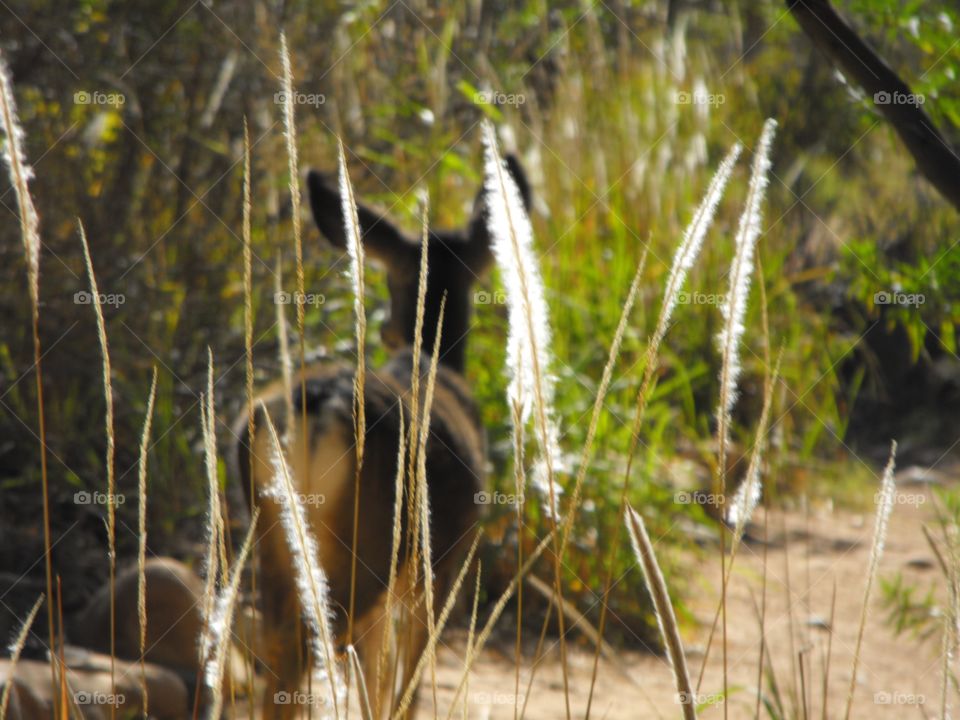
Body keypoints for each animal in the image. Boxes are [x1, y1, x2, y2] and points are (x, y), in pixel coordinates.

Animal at [235, 155, 528, 716]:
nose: (390, 329)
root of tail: (318, 406)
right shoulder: (442, 567)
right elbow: (405, 679)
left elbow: (373, 674)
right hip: (370, 545)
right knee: (307, 645)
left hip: (272, 537)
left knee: (272, 642)